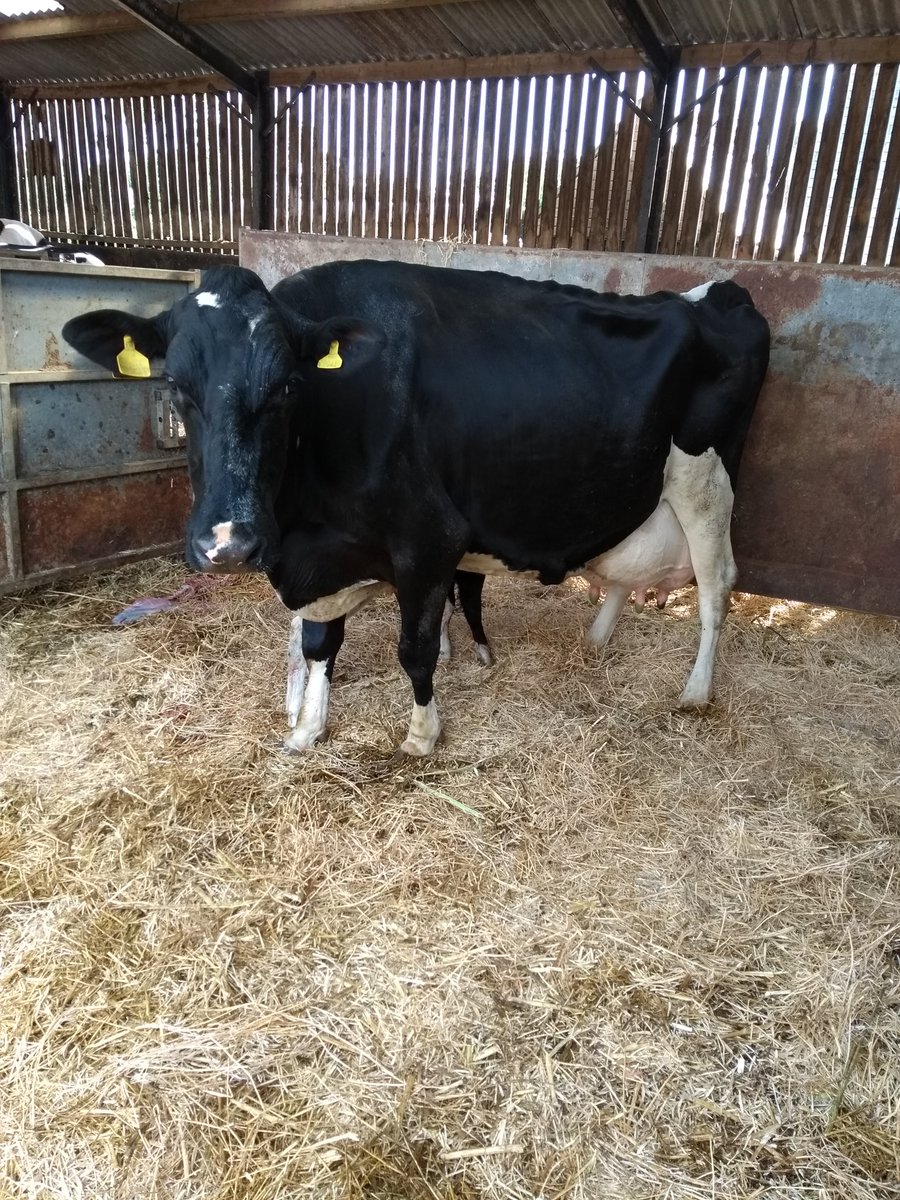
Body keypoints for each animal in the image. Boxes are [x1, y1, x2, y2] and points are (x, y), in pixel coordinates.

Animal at [62, 261, 770, 756]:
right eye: (175, 385)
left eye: (289, 385)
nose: (228, 544)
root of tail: (716, 292)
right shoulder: (328, 558)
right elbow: (319, 643)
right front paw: (308, 728)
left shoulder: (429, 540)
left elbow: (415, 650)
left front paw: (422, 735)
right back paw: (596, 642)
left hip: (708, 482)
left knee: (716, 589)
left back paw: (696, 692)